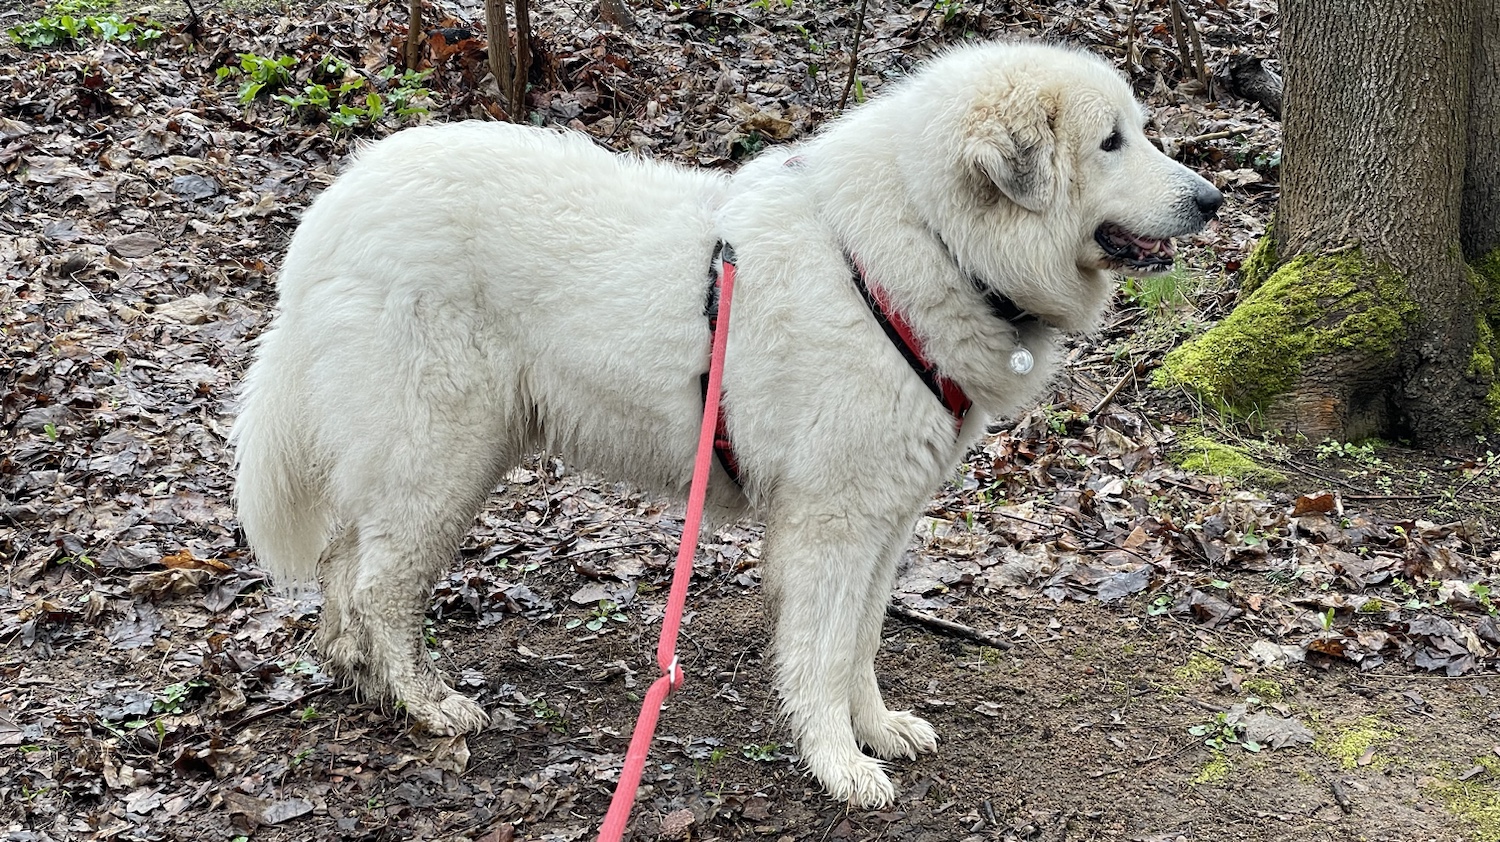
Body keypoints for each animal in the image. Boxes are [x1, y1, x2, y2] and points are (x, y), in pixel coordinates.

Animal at [232, 40, 1221, 807]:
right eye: (1111, 141)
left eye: (1136, 130)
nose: (1211, 200)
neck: (928, 241)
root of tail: (329, 213)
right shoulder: (831, 523)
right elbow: (821, 652)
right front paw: (837, 764)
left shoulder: (885, 519)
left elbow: (862, 642)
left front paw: (877, 728)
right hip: (442, 455)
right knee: (379, 585)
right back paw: (427, 703)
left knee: (343, 568)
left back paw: (361, 677)